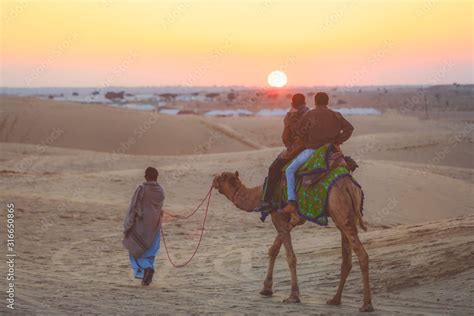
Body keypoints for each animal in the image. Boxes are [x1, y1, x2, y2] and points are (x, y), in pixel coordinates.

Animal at [212, 170, 374, 312]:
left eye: (221, 177)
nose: (213, 181)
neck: (260, 194)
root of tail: (350, 186)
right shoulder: (289, 219)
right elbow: (274, 249)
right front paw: (266, 288)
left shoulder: (278, 216)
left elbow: (290, 256)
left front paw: (293, 296)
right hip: (343, 217)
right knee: (347, 258)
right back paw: (335, 299)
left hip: (339, 210)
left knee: (362, 254)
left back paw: (366, 305)